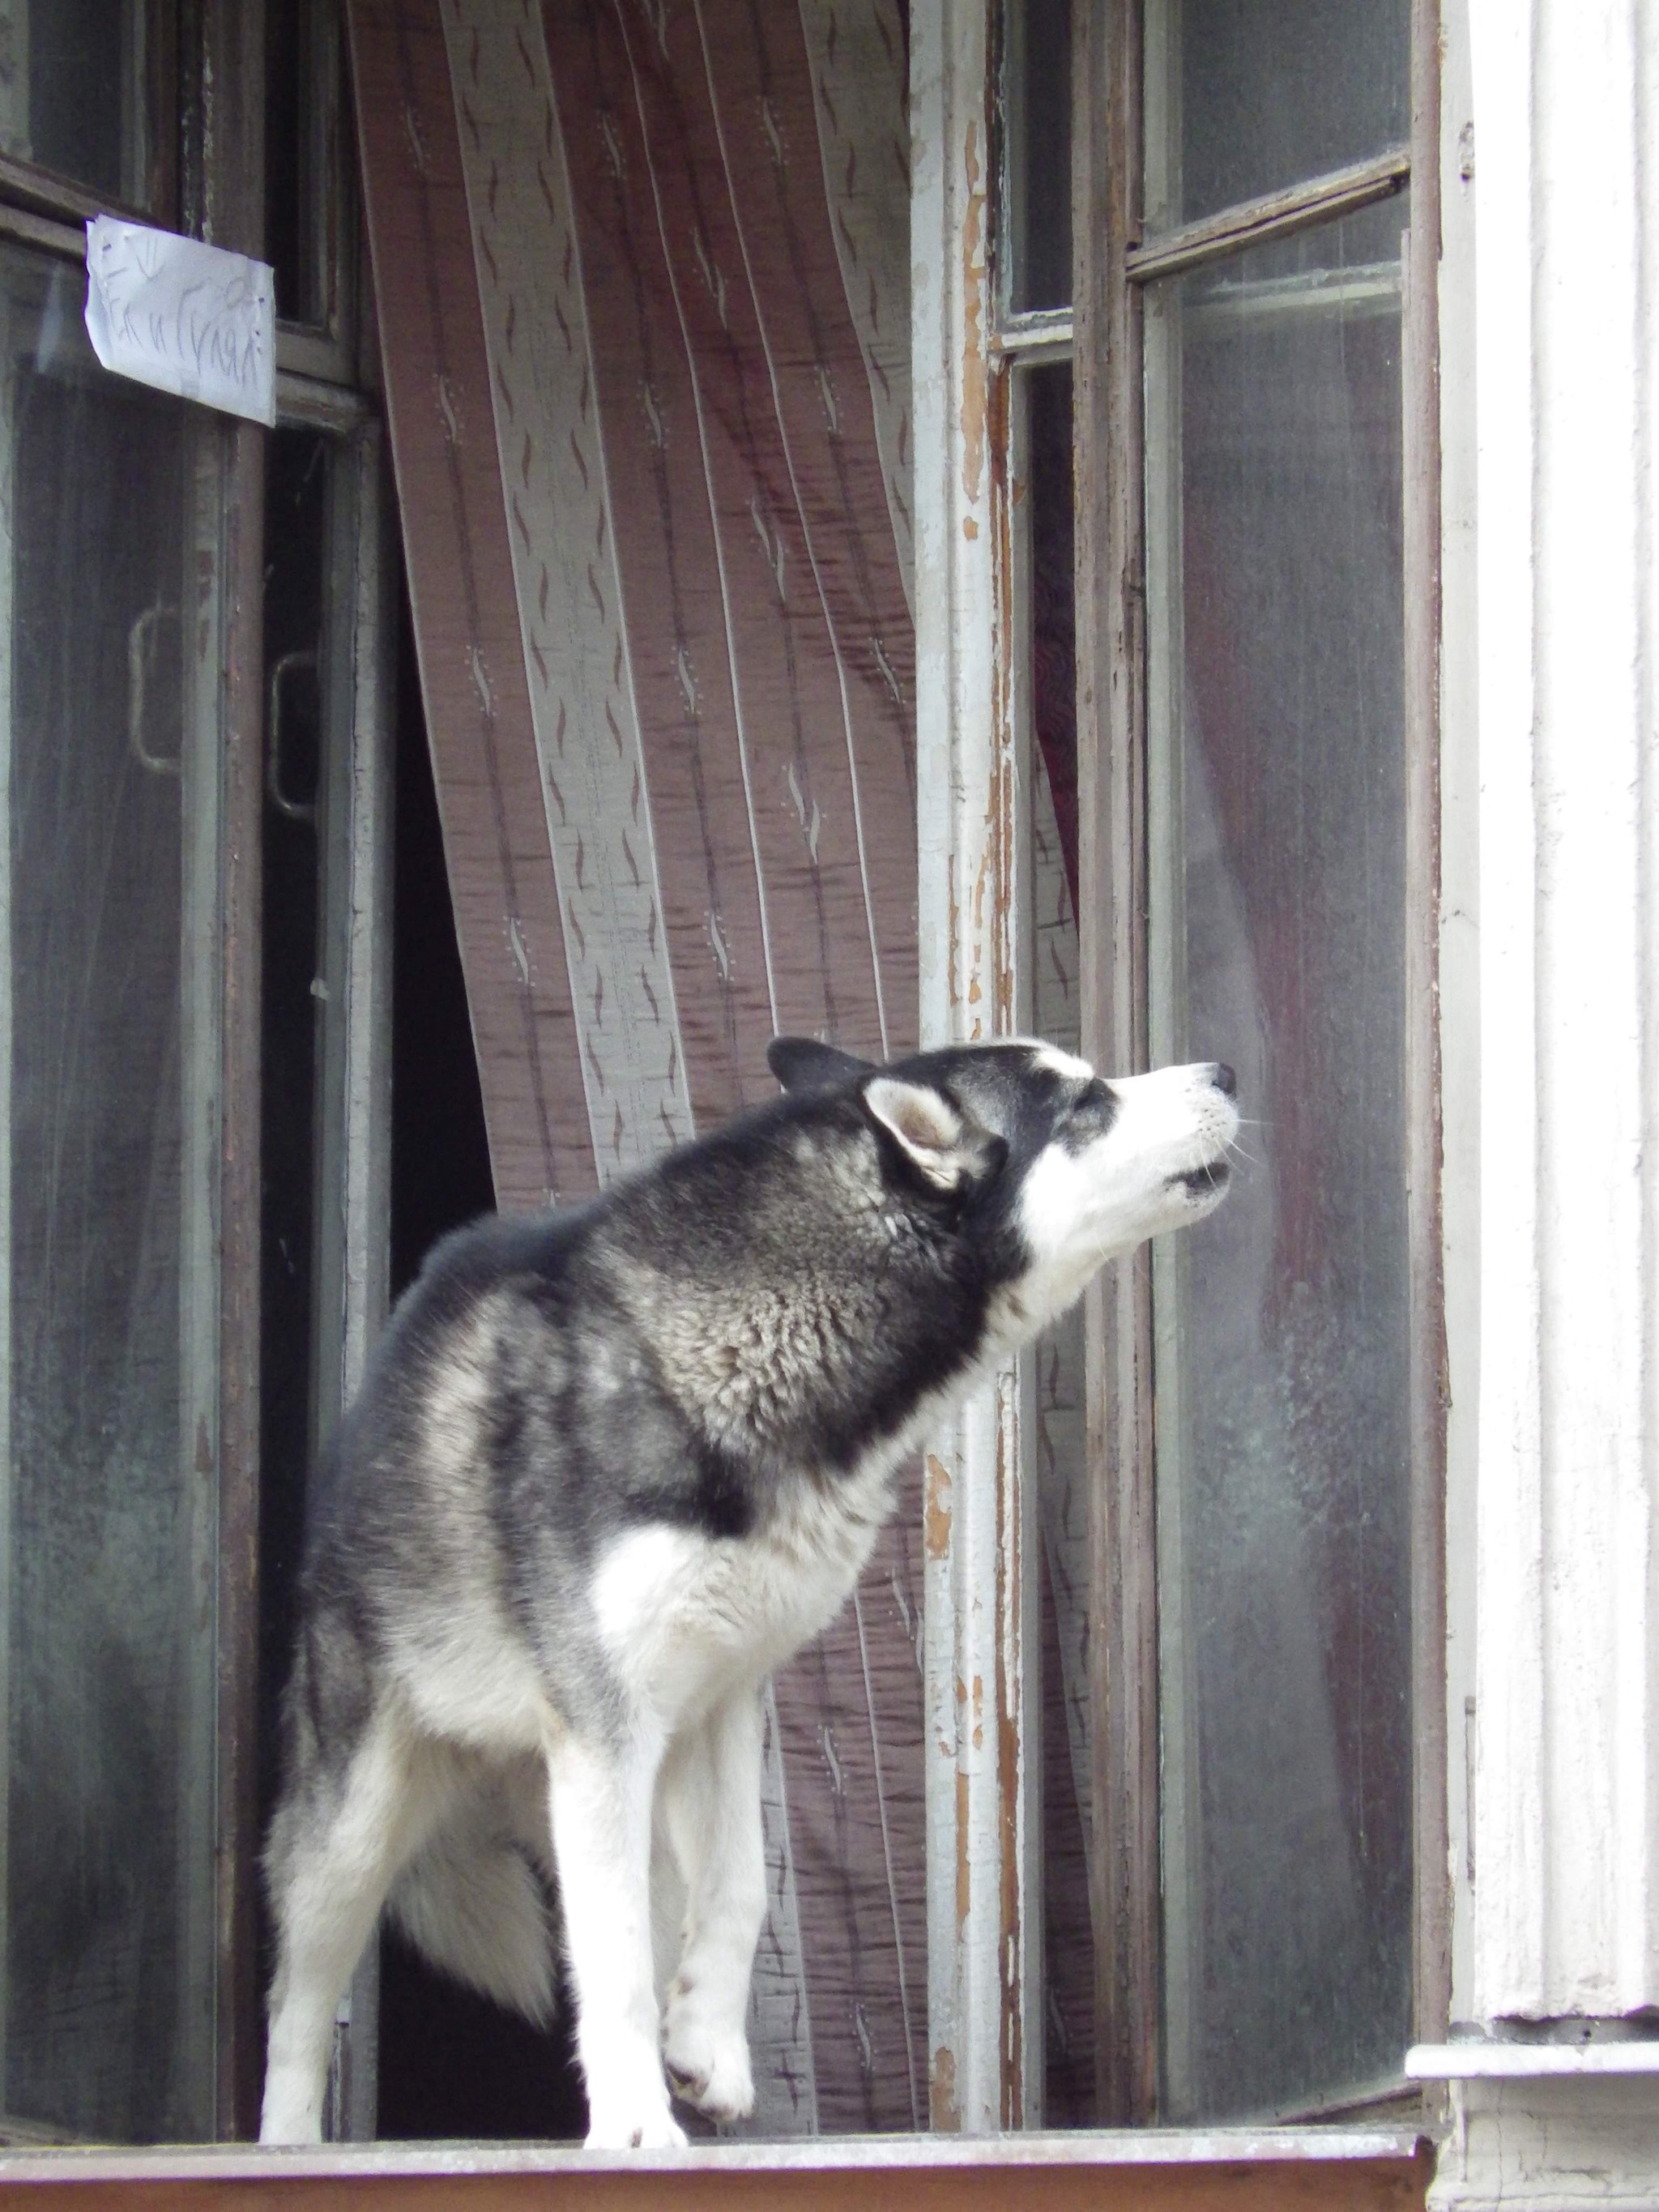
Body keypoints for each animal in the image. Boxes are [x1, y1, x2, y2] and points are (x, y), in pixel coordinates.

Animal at [262, 1035, 1239, 2141]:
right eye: (1084, 1105)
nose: (1223, 1075)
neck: (750, 1347)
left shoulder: (722, 1701)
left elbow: (737, 1889)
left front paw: (704, 2049)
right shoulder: (606, 1724)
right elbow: (610, 1961)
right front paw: (635, 2130)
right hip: (362, 1824)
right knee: (299, 2004)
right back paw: (286, 2143)